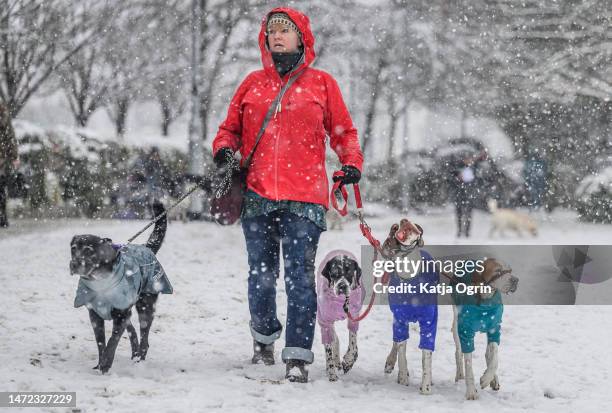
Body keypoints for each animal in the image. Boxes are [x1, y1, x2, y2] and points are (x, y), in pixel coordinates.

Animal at [70, 201, 173, 372]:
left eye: (88, 250)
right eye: (73, 249)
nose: (74, 264)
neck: (100, 281)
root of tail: (147, 247)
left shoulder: (121, 314)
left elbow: (112, 341)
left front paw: (106, 365)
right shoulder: (95, 315)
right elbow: (101, 343)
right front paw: (100, 364)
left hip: (145, 306)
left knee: (144, 336)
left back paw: (139, 360)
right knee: (133, 332)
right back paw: (135, 354)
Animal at [316, 248, 364, 380]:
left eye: (349, 271)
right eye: (334, 273)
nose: (342, 286)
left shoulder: (354, 317)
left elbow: (353, 345)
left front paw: (348, 361)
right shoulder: (325, 321)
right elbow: (328, 351)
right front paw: (332, 375)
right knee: (333, 340)